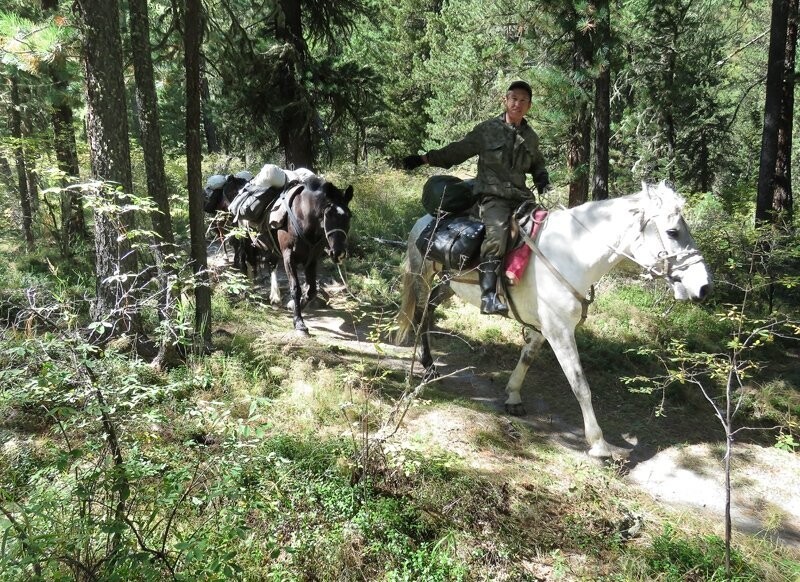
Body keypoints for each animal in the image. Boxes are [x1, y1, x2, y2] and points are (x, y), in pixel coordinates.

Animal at [396, 182, 716, 460]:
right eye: (672, 231)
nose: (703, 288)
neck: (572, 253)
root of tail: (424, 219)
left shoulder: (545, 328)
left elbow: (527, 357)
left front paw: (513, 396)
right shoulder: (560, 331)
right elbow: (580, 385)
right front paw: (598, 444)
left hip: (447, 285)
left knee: (429, 312)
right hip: (423, 276)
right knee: (420, 315)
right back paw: (427, 366)